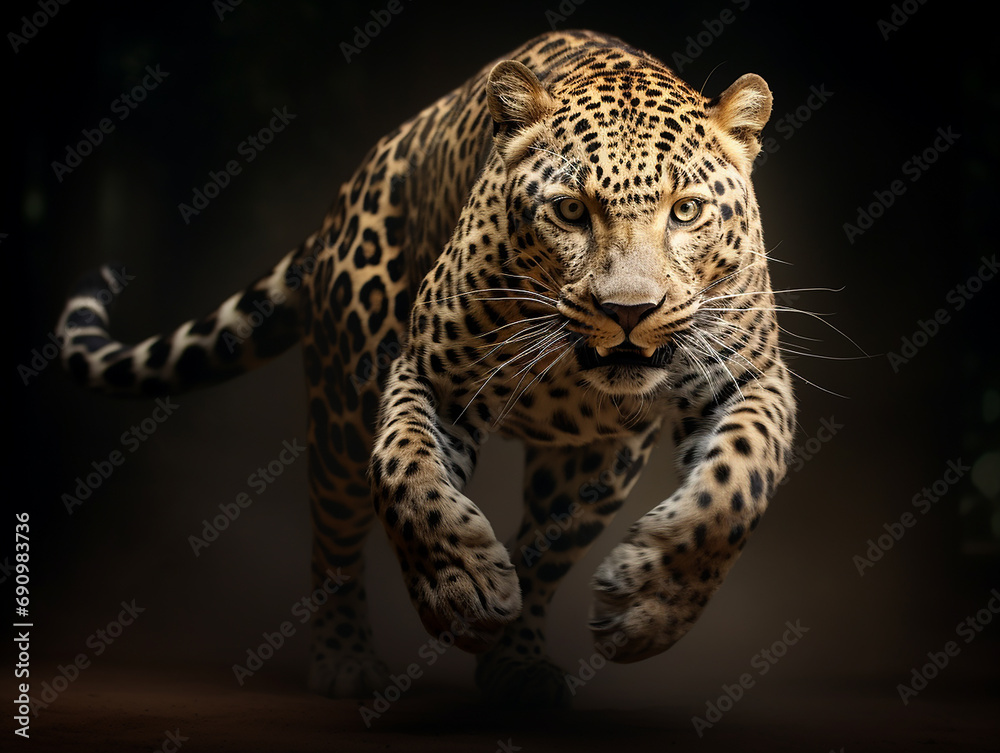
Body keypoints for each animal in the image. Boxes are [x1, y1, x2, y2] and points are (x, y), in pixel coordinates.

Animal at [57, 29, 795, 709]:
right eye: (570, 210)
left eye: (686, 211)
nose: (629, 312)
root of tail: (345, 198)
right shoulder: (432, 378)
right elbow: (405, 472)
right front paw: (460, 588)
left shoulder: (751, 376)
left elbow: (734, 486)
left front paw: (647, 607)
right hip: (343, 401)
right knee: (333, 536)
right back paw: (345, 659)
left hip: (593, 463)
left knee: (543, 554)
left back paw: (518, 663)